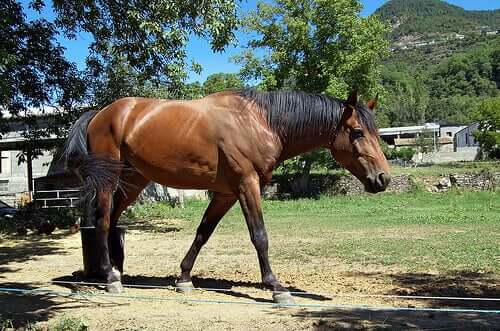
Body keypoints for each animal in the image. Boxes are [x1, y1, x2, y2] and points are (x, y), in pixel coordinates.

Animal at [62, 89, 390, 304]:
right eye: (358, 132)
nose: (383, 179)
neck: (259, 122)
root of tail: (101, 113)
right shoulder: (247, 186)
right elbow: (260, 236)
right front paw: (276, 287)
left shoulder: (225, 193)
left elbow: (203, 233)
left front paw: (184, 279)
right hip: (110, 180)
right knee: (103, 222)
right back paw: (110, 278)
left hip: (134, 181)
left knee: (113, 220)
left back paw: (117, 272)